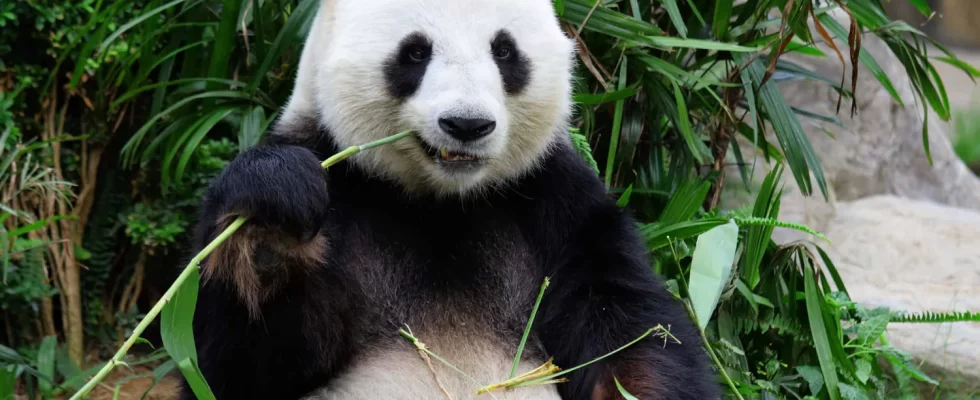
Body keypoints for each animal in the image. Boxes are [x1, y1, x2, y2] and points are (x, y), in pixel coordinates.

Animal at [182, 0, 720, 398]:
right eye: (415, 52)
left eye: (504, 51)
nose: (467, 124)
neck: (441, 203)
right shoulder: (339, 178)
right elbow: (239, 364)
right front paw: (271, 222)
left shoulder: (557, 206)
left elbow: (630, 335)